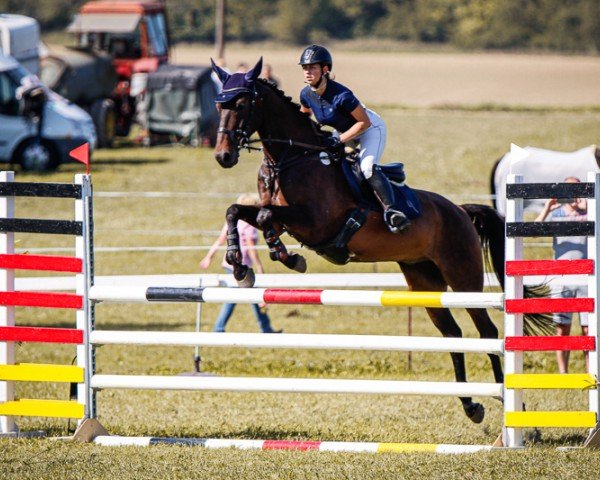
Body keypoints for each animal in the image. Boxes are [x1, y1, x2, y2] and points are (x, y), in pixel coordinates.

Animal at [212, 57, 552, 424]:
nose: (223, 157)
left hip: (463, 277)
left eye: (242, 104)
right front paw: (240, 266)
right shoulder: (285, 216)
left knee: (486, 332)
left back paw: (511, 406)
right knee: (453, 334)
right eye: (219, 104)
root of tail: (460, 210)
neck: (292, 159)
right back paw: (470, 405)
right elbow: (239, 211)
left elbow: (264, 217)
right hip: (424, 281)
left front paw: (286, 257)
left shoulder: (316, 223)